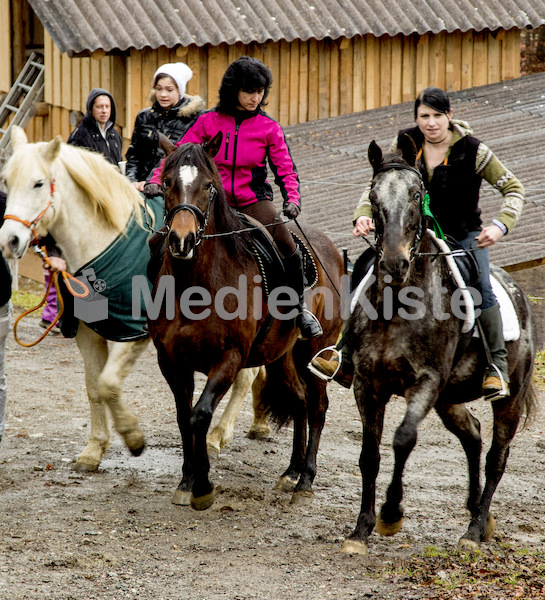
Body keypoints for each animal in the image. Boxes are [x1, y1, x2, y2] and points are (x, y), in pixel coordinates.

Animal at [0, 126, 268, 472]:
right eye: (7, 182)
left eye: (38, 183)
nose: (10, 240)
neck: (105, 242)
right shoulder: (88, 332)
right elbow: (94, 388)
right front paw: (94, 448)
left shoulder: (132, 333)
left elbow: (108, 383)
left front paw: (132, 436)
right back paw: (259, 423)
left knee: (246, 376)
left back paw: (217, 436)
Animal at [147, 134, 342, 508]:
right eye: (166, 182)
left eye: (208, 185)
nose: (181, 240)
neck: (194, 285)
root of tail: (332, 250)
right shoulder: (171, 361)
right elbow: (183, 417)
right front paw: (187, 480)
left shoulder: (229, 358)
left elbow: (199, 415)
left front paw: (203, 486)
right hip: (283, 356)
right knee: (299, 401)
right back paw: (291, 472)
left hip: (316, 351)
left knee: (318, 406)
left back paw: (306, 480)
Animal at [340, 136, 536, 552]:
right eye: (373, 196)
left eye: (417, 194)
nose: (393, 264)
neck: (398, 304)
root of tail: (521, 296)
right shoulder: (367, 384)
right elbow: (369, 454)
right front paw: (361, 529)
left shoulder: (426, 382)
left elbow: (403, 439)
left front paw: (390, 515)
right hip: (450, 398)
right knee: (473, 435)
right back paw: (478, 512)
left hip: (507, 399)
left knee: (497, 456)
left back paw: (475, 530)